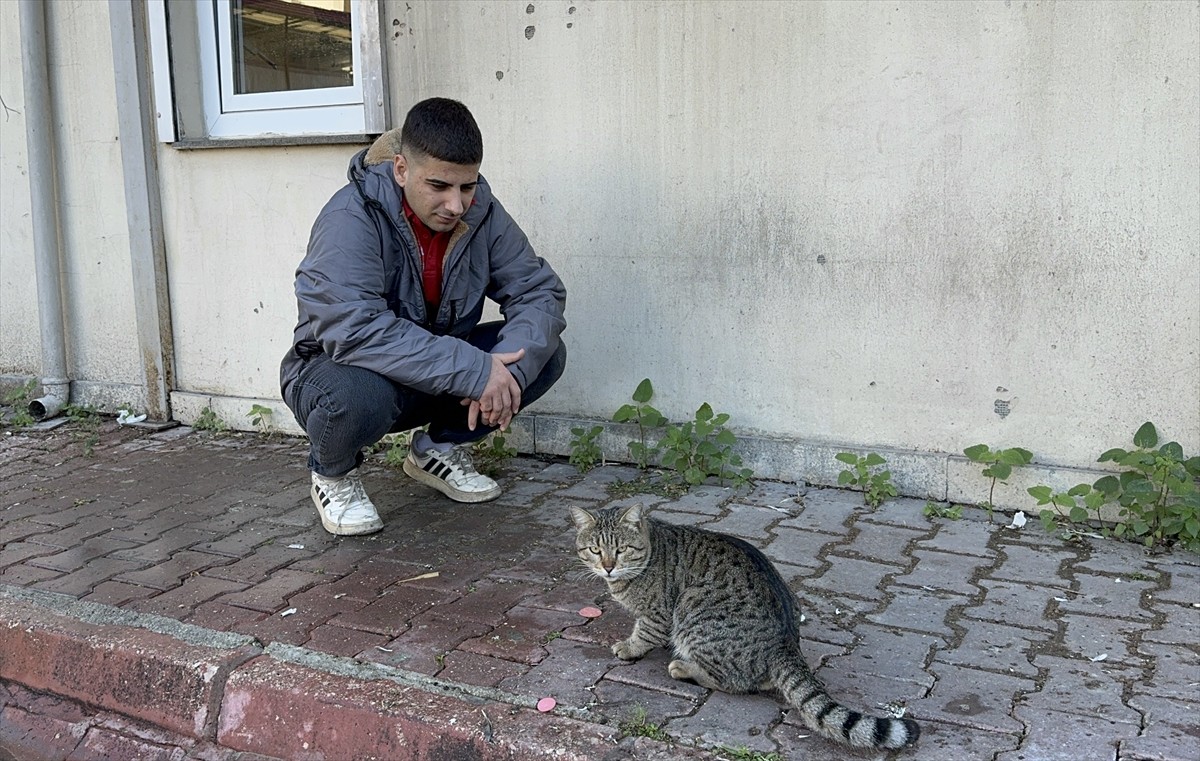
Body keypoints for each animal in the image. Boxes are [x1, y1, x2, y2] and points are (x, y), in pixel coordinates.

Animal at [571, 504, 916, 748]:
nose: (608, 567)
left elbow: (643, 634)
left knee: (731, 681)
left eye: (622, 549)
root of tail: (785, 642)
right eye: (595, 550)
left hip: (692, 608)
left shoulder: (658, 614)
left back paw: (683, 667)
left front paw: (628, 648)